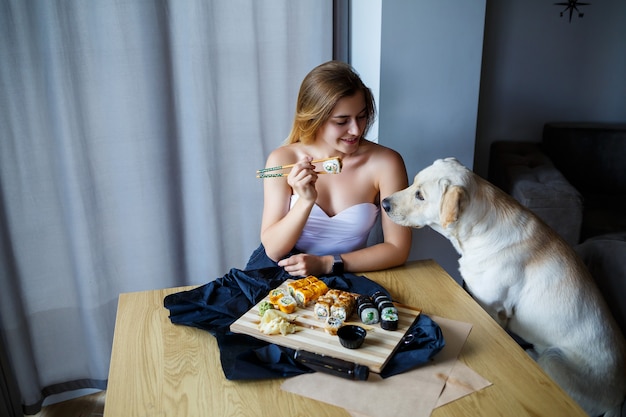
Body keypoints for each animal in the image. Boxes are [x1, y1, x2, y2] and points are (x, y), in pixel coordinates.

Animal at [380, 157, 624, 416]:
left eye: (420, 196)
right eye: (413, 183)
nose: (384, 203)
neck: (477, 231)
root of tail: (617, 401)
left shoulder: (492, 308)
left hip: (554, 358)